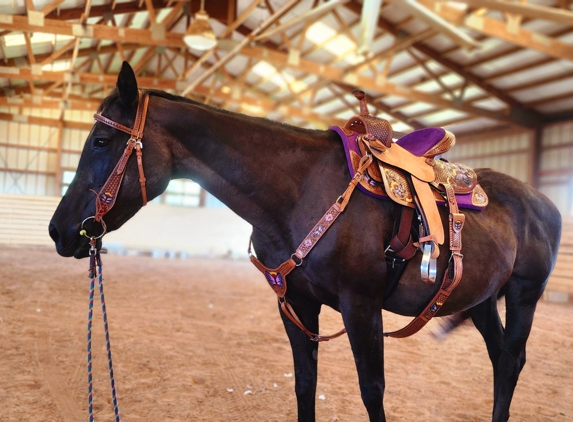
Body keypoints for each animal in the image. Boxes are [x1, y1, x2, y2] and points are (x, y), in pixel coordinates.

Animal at [48, 62, 560, 422]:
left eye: (99, 141)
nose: (58, 230)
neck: (299, 192)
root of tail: (544, 203)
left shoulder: (361, 307)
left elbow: (372, 391)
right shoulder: (295, 304)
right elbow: (304, 385)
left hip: (524, 294)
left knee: (511, 361)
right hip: (480, 299)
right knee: (499, 357)